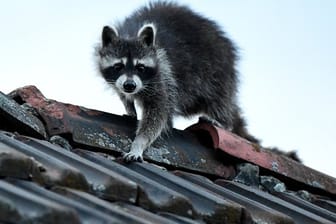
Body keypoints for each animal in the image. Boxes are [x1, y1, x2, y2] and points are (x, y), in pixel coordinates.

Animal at [96, 1, 258, 161]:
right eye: (118, 66)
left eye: (140, 67)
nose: (130, 85)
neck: (130, 34)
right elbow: (124, 95)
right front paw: (129, 106)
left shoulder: (162, 76)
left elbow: (158, 114)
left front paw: (139, 143)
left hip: (218, 70)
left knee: (219, 100)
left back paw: (224, 121)